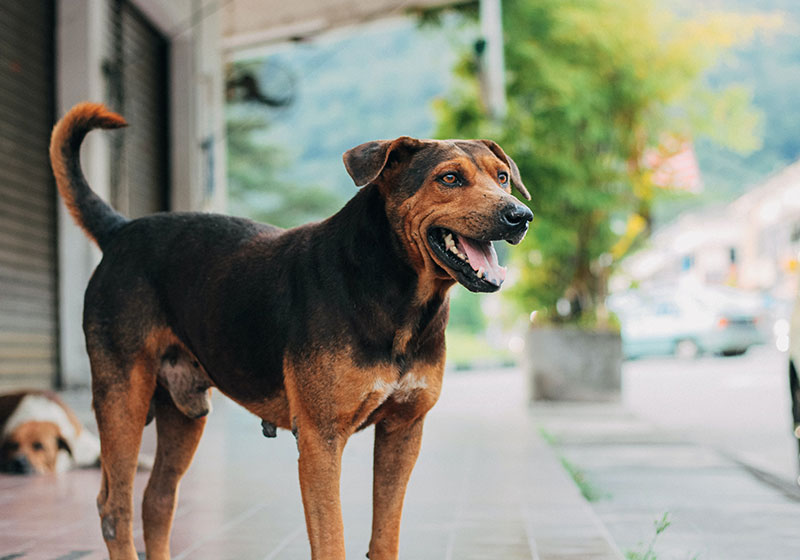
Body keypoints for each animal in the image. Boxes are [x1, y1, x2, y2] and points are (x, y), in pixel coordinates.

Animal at [51, 103, 532, 556]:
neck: (398, 296)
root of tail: (120, 231)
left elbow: (385, 536)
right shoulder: (321, 439)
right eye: (449, 178)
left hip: (183, 412)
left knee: (158, 500)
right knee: (114, 507)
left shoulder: (403, 430)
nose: (521, 216)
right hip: (123, 399)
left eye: (503, 177)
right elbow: (332, 539)